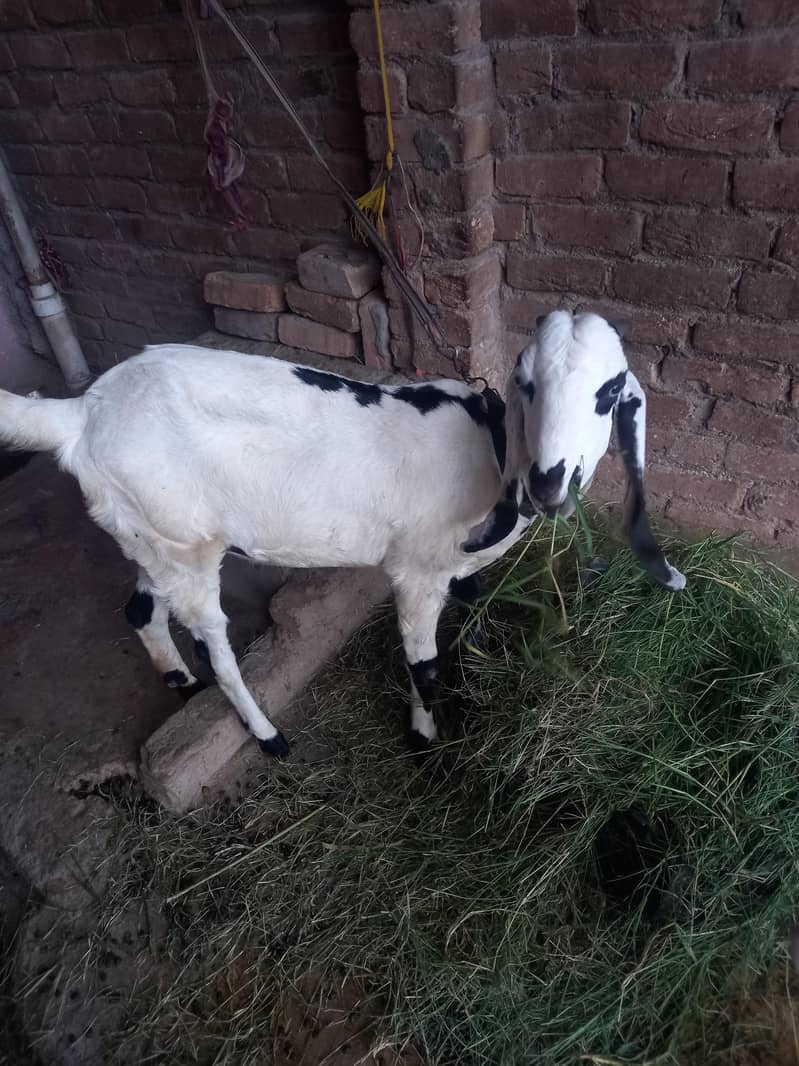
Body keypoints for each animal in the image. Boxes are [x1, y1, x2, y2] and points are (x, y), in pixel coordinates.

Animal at [0, 311, 685, 755]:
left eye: (608, 393)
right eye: (529, 385)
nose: (548, 484)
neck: (489, 450)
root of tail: (81, 413)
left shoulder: (453, 567)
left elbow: (469, 603)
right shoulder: (415, 573)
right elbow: (425, 666)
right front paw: (424, 740)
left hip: (153, 536)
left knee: (141, 609)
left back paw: (177, 681)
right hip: (189, 551)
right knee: (214, 644)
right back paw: (266, 734)